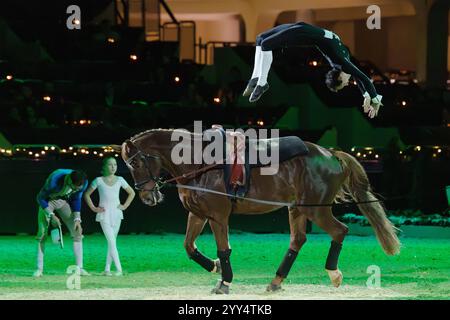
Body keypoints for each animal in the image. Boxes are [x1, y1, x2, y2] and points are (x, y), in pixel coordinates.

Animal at [115, 129, 398, 294]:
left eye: (136, 162)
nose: (148, 196)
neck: (201, 163)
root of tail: (330, 154)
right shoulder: (197, 214)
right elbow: (189, 247)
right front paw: (214, 267)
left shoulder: (218, 216)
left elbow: (223, 249)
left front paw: (225, 281)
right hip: (297, 209)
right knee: (298, 240)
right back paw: (276, 281)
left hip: (316, 210)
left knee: (340, 230)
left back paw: (334, 273)